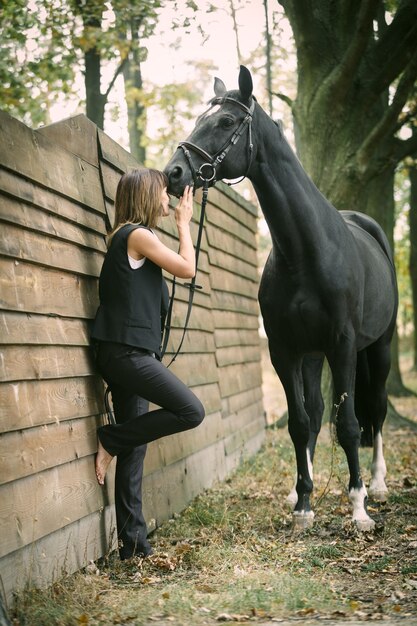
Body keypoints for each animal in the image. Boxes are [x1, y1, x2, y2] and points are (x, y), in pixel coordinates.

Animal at [162, 66, 396, 528]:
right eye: (200, 118)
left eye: (227, 122)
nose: (174, 173)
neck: (306, 251)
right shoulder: (284, 349)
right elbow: (300, 423)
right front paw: (303, 503)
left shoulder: (343, 345)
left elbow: (349, 424)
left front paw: (358, 507)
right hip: (311, 355)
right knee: (316, 412)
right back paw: (302, 489)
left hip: (379, 346)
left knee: (376, 409)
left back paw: (377, 485)